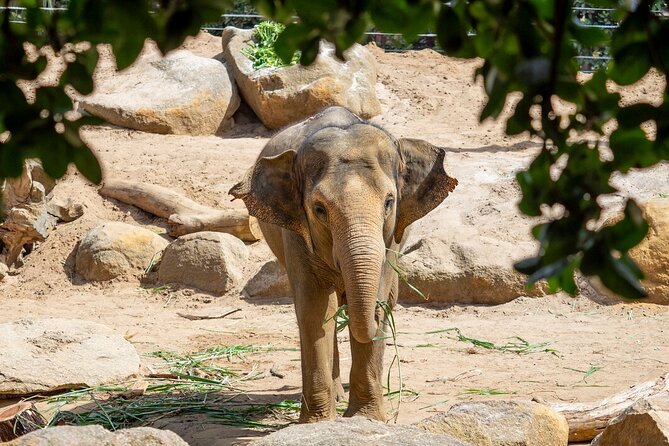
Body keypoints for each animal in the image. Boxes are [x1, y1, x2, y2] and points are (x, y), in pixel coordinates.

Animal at [228, 106, 454, 424]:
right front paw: (317, 423)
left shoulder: (391, 239)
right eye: (319, 209)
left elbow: (378, 290)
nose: (377, 314)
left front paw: (366, 418)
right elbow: (316, 308)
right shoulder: (297, 235)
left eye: (389, 202)